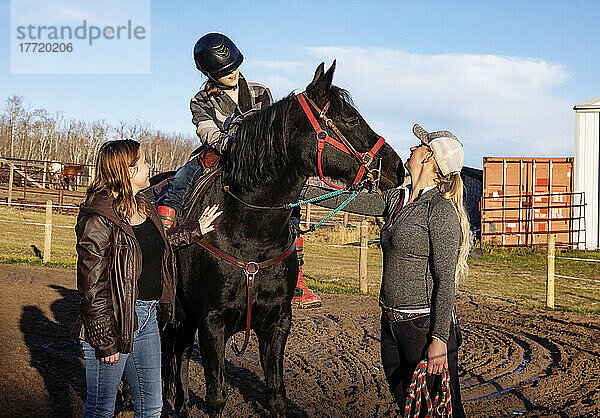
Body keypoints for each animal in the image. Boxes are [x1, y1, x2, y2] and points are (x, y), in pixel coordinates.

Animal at [159, 60, 406, 416]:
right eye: (351, 119)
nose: (397, 168)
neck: (248, 236)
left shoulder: (277, 322)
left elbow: (276, 394)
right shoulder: (212, 323)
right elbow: (216, 395)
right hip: (177, 313)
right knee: (172, 356)